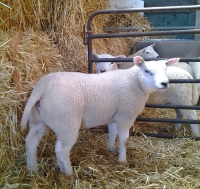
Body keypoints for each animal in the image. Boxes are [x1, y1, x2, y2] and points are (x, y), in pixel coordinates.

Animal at [20, 56, 178, 176]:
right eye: (147, 71)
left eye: (165, 70)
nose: (165, 83)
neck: (135, 82)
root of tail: (42, 86)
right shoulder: (125, 116)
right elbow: (124, 139)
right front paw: (122, 159)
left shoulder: (113, 116)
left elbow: (112, 133)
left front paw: (110, 149)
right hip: (67, 122)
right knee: (61, 149)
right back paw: (68, 173)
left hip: (38, 120)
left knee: (31, 141)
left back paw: (32, 170)